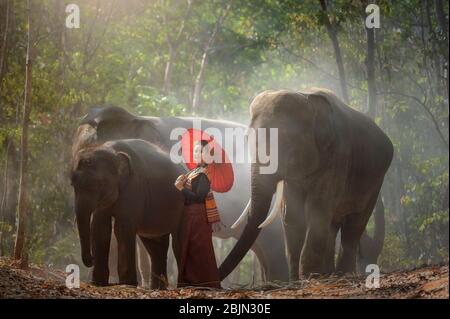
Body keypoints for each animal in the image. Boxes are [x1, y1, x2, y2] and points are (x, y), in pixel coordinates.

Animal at [69, 139, 185, 288]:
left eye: (97, 184)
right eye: (72, 185)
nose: (91, 259)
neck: (110, 150)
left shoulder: (134, 187)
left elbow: (122, 228)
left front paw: (127, 283)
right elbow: (100, 228)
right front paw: (97, 283)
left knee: (178, 244)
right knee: (155, 246)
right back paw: (158, 288)